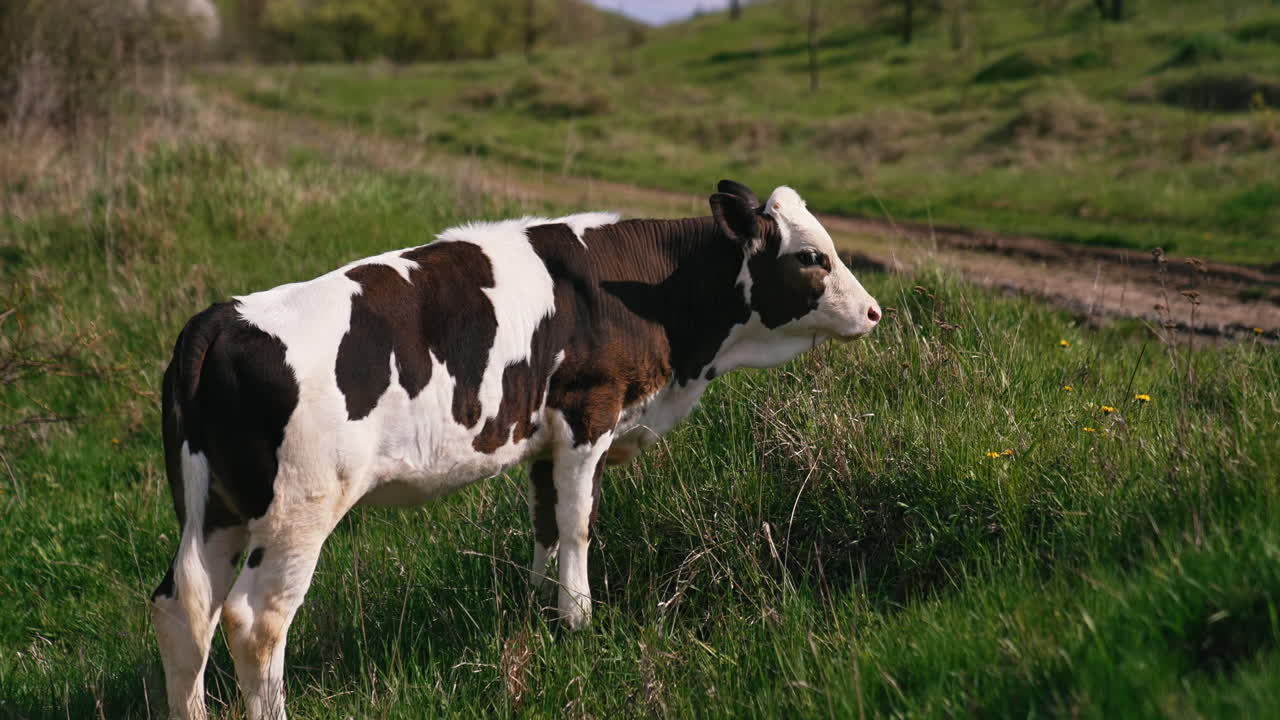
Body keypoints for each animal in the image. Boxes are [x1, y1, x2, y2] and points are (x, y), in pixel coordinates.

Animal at [149, 181, 880, 719]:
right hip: (299, 509)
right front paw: (580, 621)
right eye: (812, 257)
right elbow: (579, 524)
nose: (875, 312)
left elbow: (545, 524)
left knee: (182, 610)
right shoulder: (589, 413)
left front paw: (539, 611)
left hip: (215, 510)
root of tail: (221, 318)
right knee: (254, 621)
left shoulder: (542, 440)